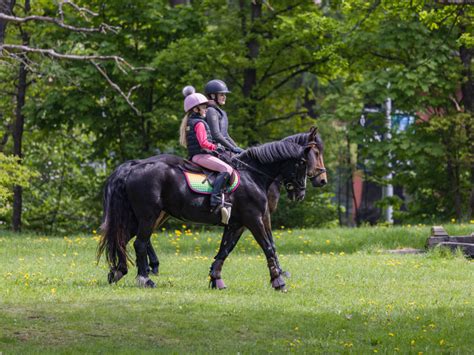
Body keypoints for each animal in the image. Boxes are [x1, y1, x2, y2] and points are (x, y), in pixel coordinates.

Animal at [98, 136, 316, 290]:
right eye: (303, 162)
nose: (301, 193)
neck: (252, 176)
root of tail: (134, 167)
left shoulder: (237, 224)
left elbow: (225, 250)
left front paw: (216, 279)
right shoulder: (254, 219)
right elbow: (268, 247)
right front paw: (278, 281)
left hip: (138, 218)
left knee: (122, 239)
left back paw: (118, 272)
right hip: (148, 216)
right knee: (140, 243)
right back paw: (145, 278)